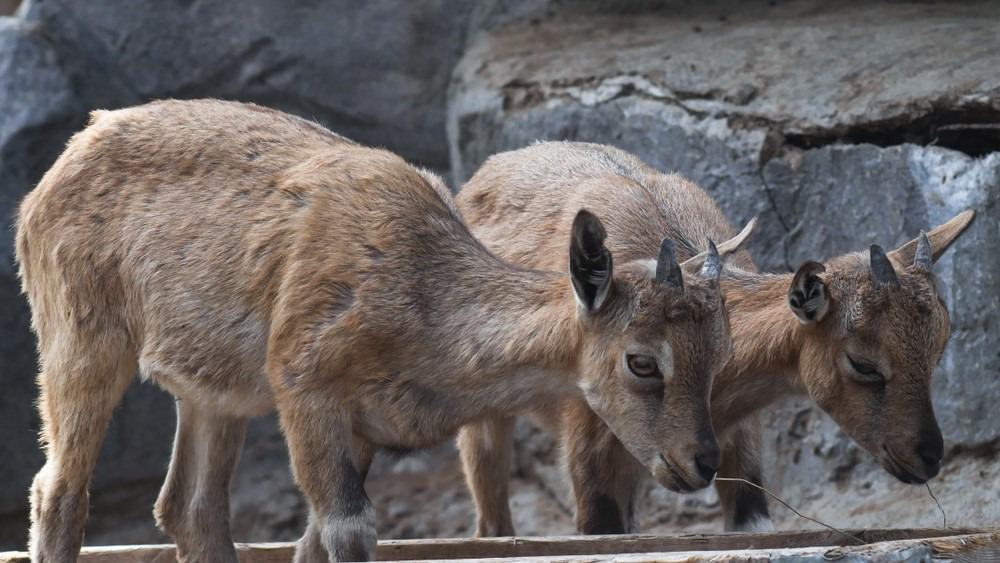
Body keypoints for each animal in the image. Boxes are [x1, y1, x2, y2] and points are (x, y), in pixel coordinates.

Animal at [15, 102, 752, 563]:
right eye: (641, 361)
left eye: (719, 354)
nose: (699, 461)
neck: (422, 298)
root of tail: (51, 177)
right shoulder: (304, 387)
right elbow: (347, 530)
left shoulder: (362, 427)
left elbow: (312, 540)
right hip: (80, 336)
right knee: (59, 488)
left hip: (213, 393)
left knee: (190, 508)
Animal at [458, 141, 972, 536]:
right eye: (863, 364)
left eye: (937, 352)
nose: (928, 455)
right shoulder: (590, 443)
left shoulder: (735, 444)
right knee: (491, 520)